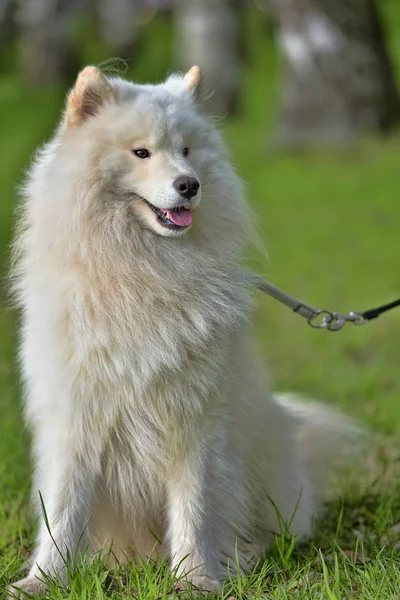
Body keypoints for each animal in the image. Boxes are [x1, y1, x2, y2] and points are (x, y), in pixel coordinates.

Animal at [9, 65, 354, 596]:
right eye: (141, 153)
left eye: (187, 150)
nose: (189, 185)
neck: (140, 273)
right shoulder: (77, 419)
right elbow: (62, 511)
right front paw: (44, 580)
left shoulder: (193, 421)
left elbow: (195, 508)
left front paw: (195, 579)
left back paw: (245, 555)